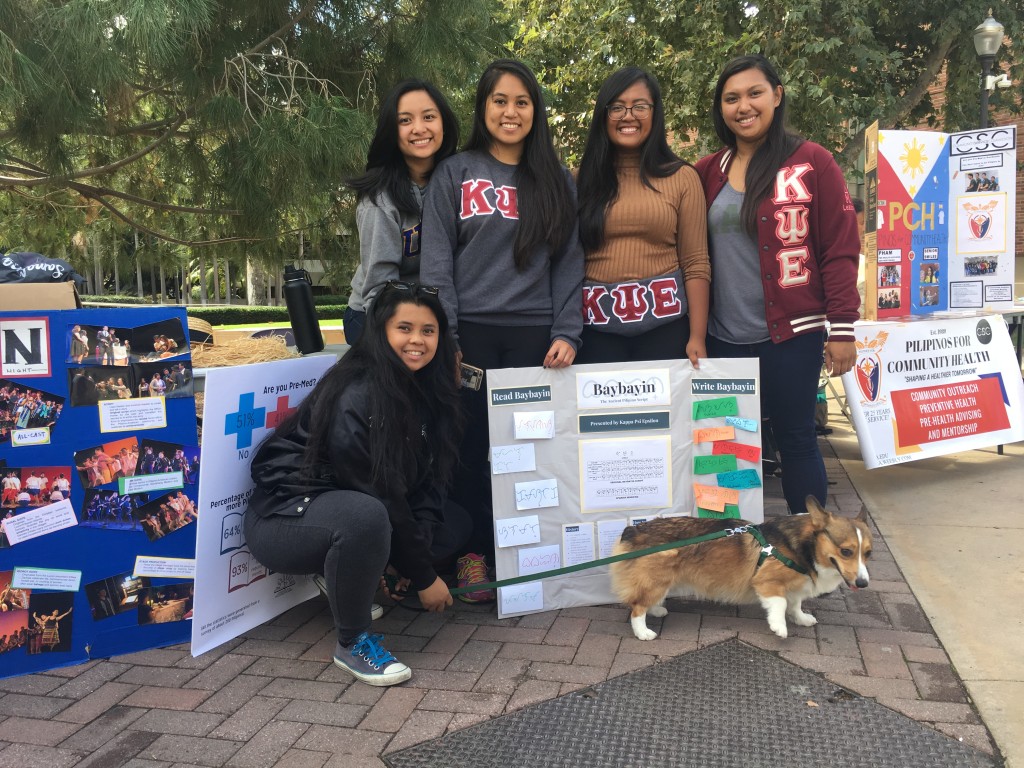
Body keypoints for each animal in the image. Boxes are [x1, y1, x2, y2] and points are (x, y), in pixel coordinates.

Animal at [610, 495, 868, 638]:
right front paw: (779, 627)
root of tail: (633, 529)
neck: (801, 545)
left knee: (645, 601)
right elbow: (781, 603)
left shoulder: (794, 585)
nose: (864, 583)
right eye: (846, 551)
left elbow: (795, 605)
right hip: (657, 579)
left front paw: (802, 619)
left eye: (867, 553)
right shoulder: (766, 582)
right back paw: (643, 632)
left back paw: (656, 610)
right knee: (637, 608)